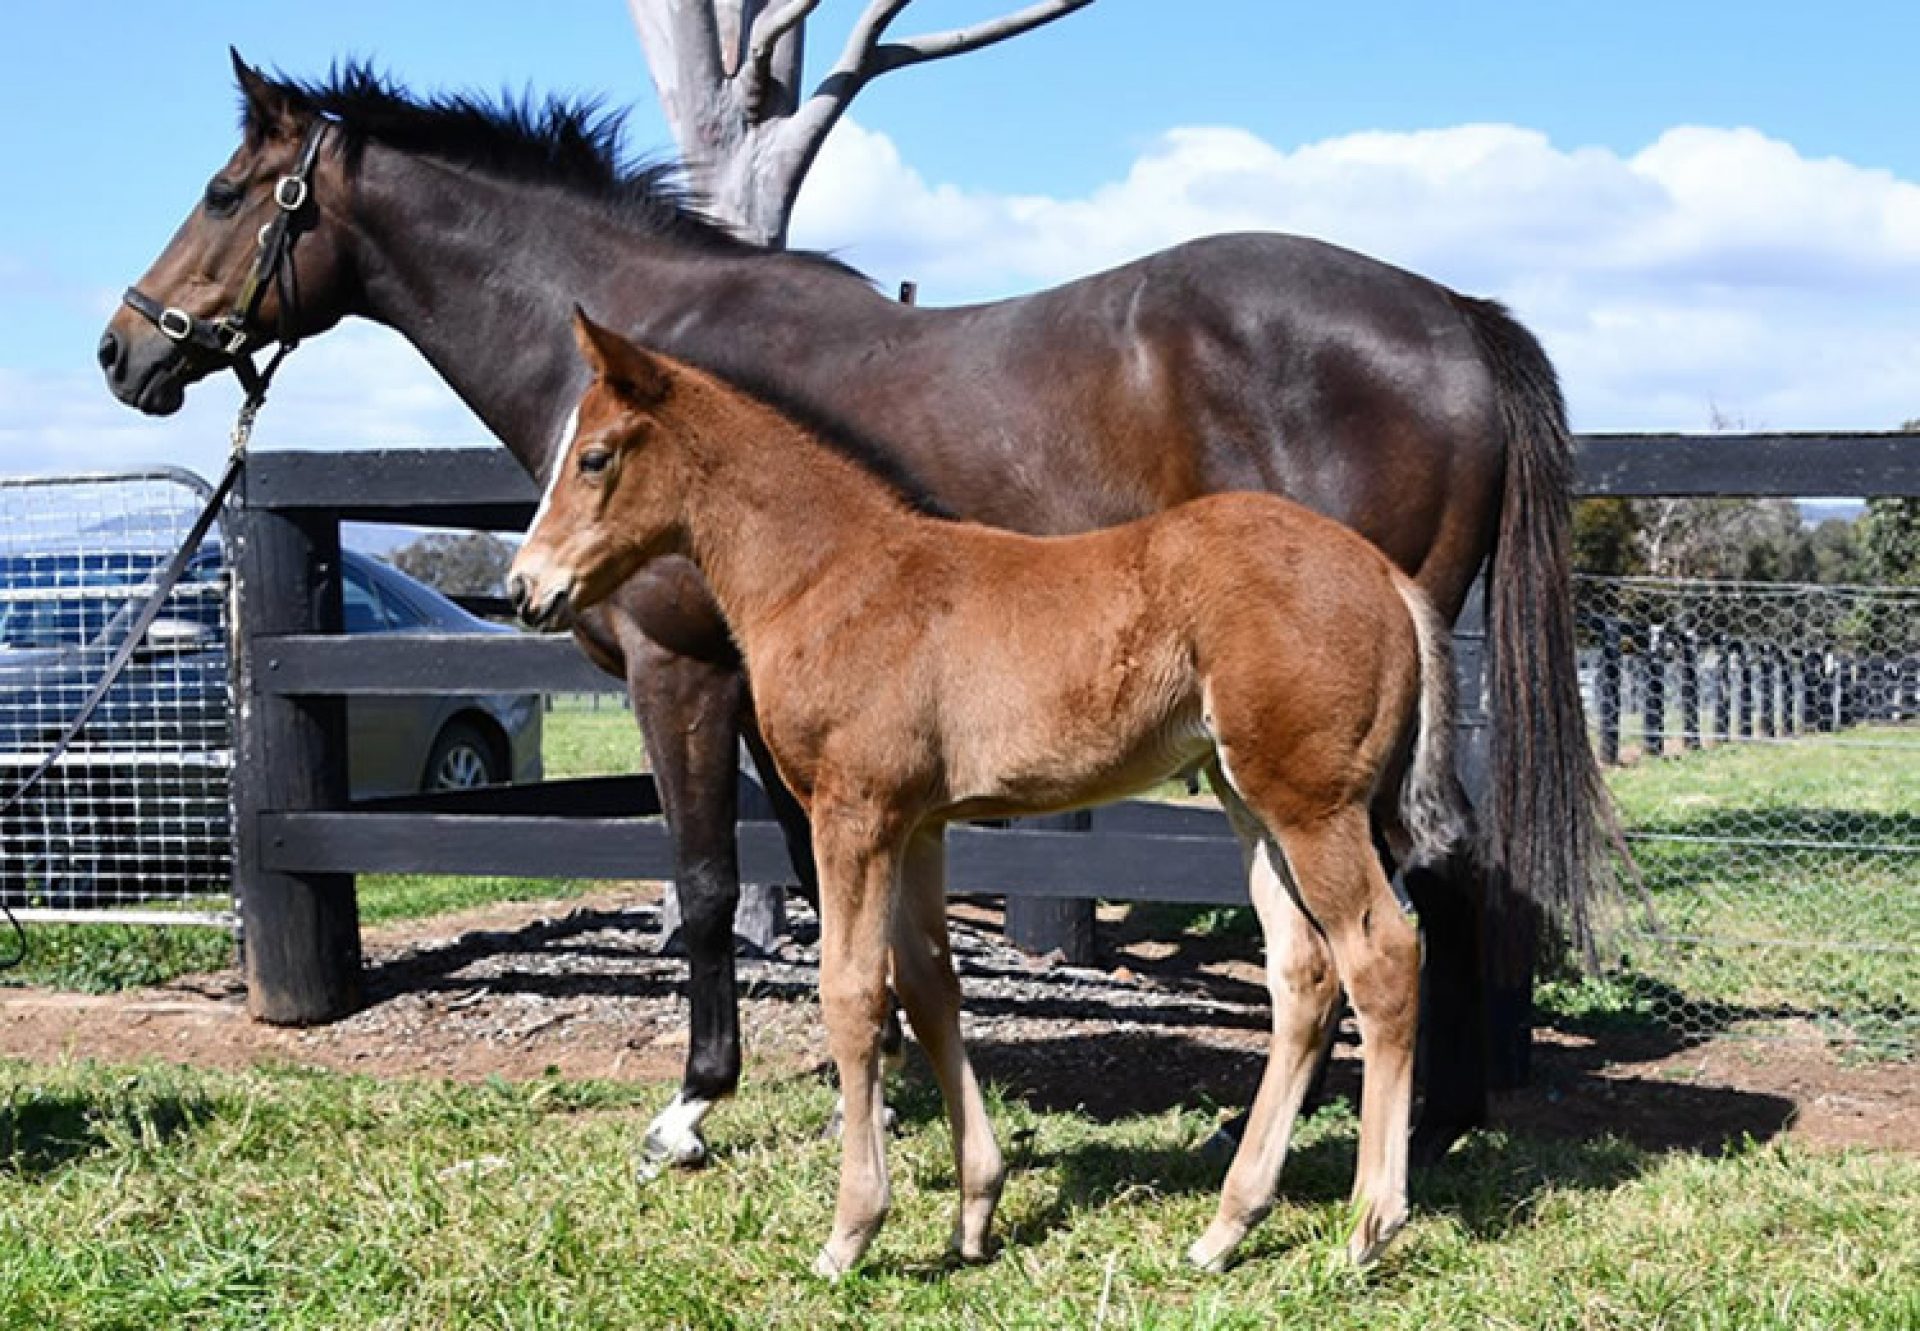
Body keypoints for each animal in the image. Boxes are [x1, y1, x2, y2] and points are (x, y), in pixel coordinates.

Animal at [510, 311, 1466, 1275]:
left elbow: (852, 994)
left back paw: (1371, 1225)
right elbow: (931, 986)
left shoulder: (855, 812)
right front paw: (975, 1210)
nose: (525, 587)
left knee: (1382, 955)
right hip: (1251, 802)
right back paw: (1226, 1226)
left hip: (1313, 805)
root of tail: (1388, 577)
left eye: (594, 457)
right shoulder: (918, 824)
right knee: (1303, 973)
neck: (832, 577)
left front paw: (851, 1230)